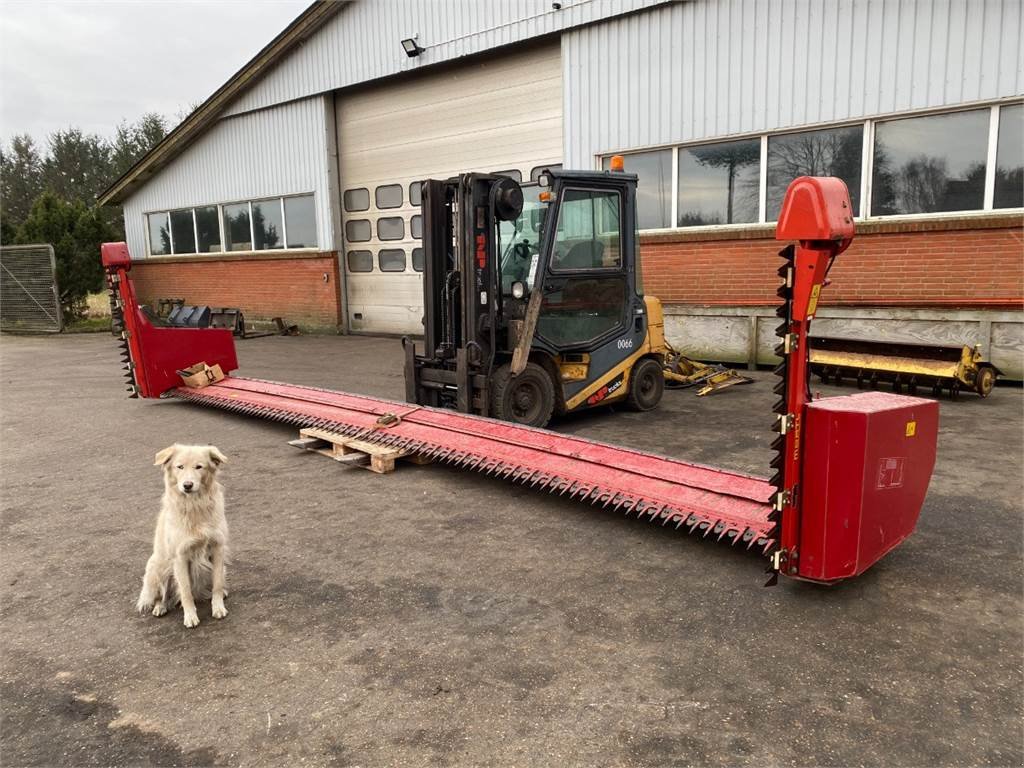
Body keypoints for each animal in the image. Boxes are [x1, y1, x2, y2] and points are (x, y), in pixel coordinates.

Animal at [136, 444, 230, 630]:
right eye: (179, 467)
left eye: (199, 467)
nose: (187, 485)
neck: (195, 505)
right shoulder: (180, 557)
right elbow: (186, 591)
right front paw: (190, 616)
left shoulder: (217, 548)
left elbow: (216, 583)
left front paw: (218, 607)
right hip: (158, 567)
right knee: (162, 595)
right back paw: (160, 607)